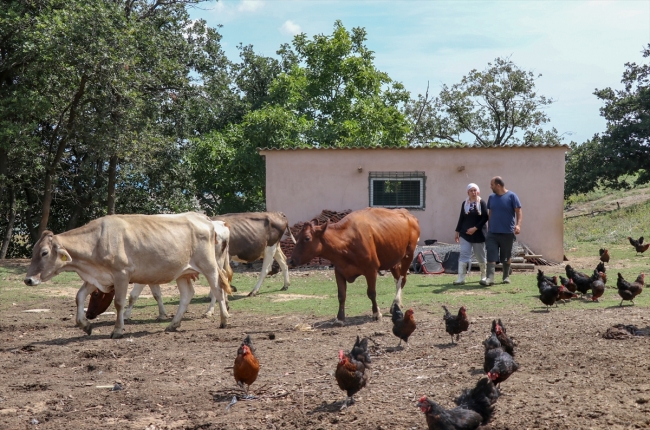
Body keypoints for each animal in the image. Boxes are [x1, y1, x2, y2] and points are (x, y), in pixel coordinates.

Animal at [24, 213, 230, 338]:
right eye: (33, 251)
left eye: (44, 252)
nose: (28, 279)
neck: (97, 241)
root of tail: (203, 218)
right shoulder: (98, 276)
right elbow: (79, 296)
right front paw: (84, 324)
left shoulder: (121, 274)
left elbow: (119, 302)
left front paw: (117, 330)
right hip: (183, 273)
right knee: (187, 295)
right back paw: (173, 324)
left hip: (209, 266)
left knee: (218, 290)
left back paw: (223, 319)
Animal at [286, 208, 418, 326]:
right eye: (297, 237)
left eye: (307, 238)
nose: (290, 261)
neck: (345, 242)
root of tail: (407, 213)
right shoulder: (339, 271)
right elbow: (341, 295)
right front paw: (339, 318)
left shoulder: (371, 270)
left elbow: (371, 293)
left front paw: (376, 314)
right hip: (393, 258)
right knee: (397, 279)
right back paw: (395, 305)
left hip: (408, 255)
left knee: (402, 279)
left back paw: (396, 303)